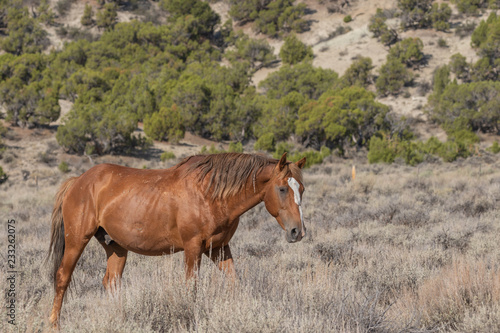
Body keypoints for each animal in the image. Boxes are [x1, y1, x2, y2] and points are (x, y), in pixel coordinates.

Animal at [47, 152, 304, 326]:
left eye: (301, 188)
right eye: (282, 189)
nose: (297, 232)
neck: (210, 194)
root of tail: (78, 181)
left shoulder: (219, 248)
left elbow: (234, 283)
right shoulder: (193, 248)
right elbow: (191, 288)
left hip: (116, 247)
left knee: (111, 282)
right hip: (76, 241)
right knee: (62, 278)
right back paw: (54, 324)